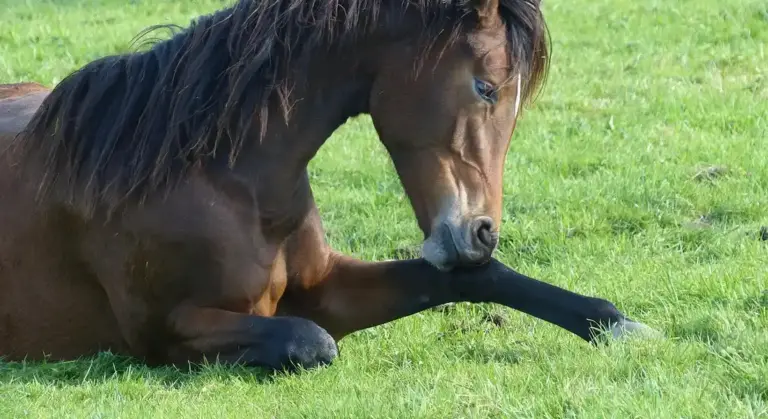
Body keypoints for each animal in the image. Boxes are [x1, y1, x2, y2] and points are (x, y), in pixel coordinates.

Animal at [0, 0, 656, 371]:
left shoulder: (327, 288)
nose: (482, 232)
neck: (224, 178)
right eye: (486, 88)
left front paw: (620, 325)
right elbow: (311, 342)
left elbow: (477, 279)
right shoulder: (162, 331)